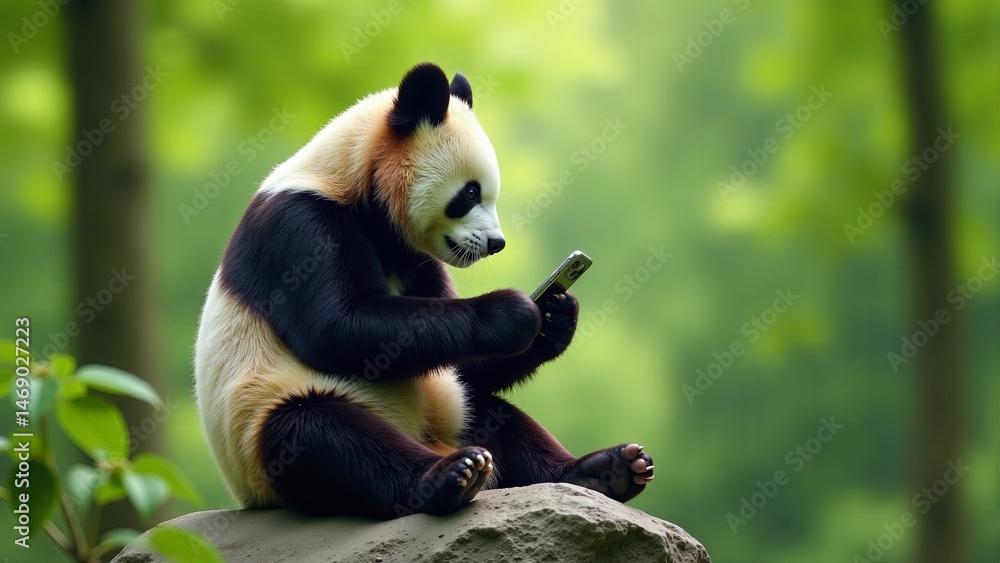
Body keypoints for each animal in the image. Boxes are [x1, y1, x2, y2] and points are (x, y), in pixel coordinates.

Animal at [194, 63, 654, 519]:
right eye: (470, 193)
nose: (496, 243)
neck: (350, 175)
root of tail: (426, 437)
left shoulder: (415, 258)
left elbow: (454, 358)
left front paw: (557, 316)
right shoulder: (298, 224)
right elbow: (338, 326)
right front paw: (514, 311)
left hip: (452, 408)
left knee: (492, 412)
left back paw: (604, 471)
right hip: (260, 433)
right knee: (320, 435)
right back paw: (449, 477)